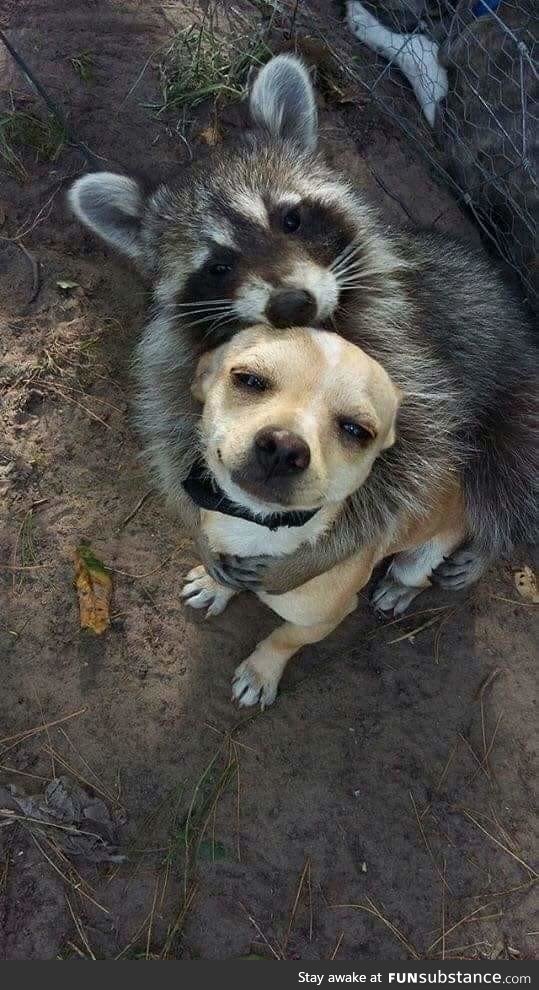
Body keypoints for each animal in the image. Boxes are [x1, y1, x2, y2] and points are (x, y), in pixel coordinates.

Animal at [67, 56, 536, 604]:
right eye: (219, 266)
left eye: (290, 219)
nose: (292, 303)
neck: (311, 340)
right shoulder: (177, 356)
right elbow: (173, 431)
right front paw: (203, 537)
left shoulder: (407, 350)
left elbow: (408, 469)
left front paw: (320, 554)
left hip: (517, 398)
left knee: (506, 477)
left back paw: (480, 547)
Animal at [181, 330, 468, 708]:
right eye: (249, 380)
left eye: (356, 431)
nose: (284, 446)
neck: (257, 528)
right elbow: (226, 573)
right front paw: (215, 585)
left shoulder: (324, 619)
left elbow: (284, 639)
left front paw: (260, 673)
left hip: (424, 557)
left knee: (418, 579)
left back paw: (397, 591)